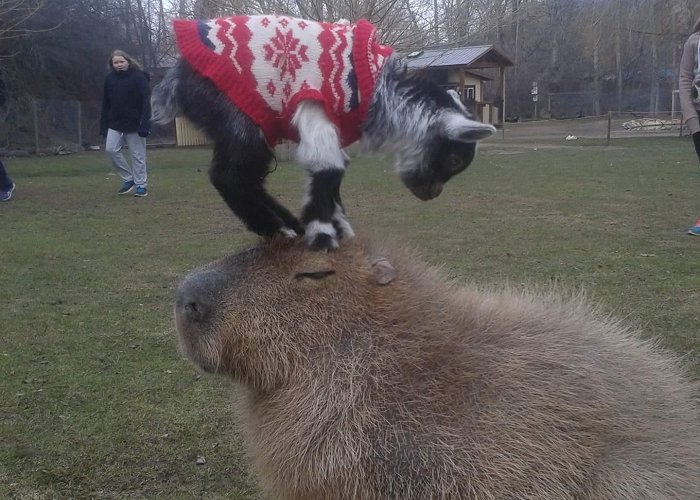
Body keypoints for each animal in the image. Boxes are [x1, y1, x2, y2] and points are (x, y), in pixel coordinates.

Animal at [152, 14, 498, 250]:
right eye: (454, 159)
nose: (432, 195)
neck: (380, 90)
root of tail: (177, 76)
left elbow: (336, 168)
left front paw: (336, 225)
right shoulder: (315, 107)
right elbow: (328, 165)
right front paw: (323, 233)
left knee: (251, 179)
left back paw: (289, 223)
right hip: (237, 115)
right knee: (228, 176)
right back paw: (277, 230)